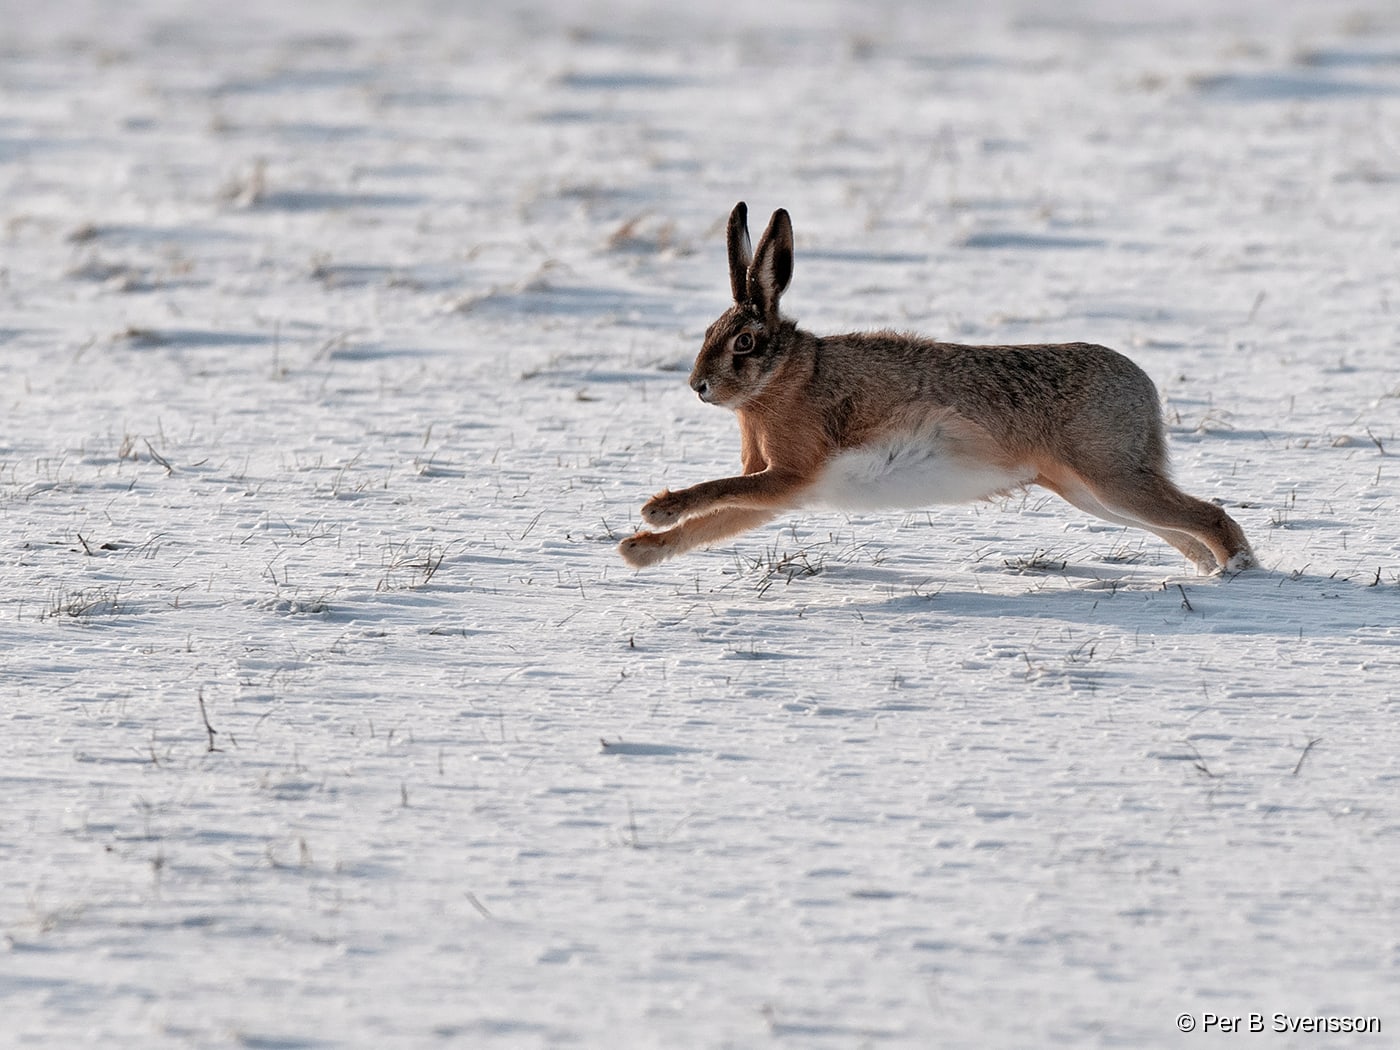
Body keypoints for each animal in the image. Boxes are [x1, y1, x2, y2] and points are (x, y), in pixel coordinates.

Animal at [618, 202, 1255, 575]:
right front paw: (638, 550)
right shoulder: (781, 490)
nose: (698, 386)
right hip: (1086, 489)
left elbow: (717, 491)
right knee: (1178, 526)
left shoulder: (790, 474)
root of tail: (1145, 389)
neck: (789, 376)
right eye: (708, 332)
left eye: (745, 343)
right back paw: (1212, 570)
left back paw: (1236, 572)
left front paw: (655, 511)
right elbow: (720, 517)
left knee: (1210, 516)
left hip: (1108, 474)